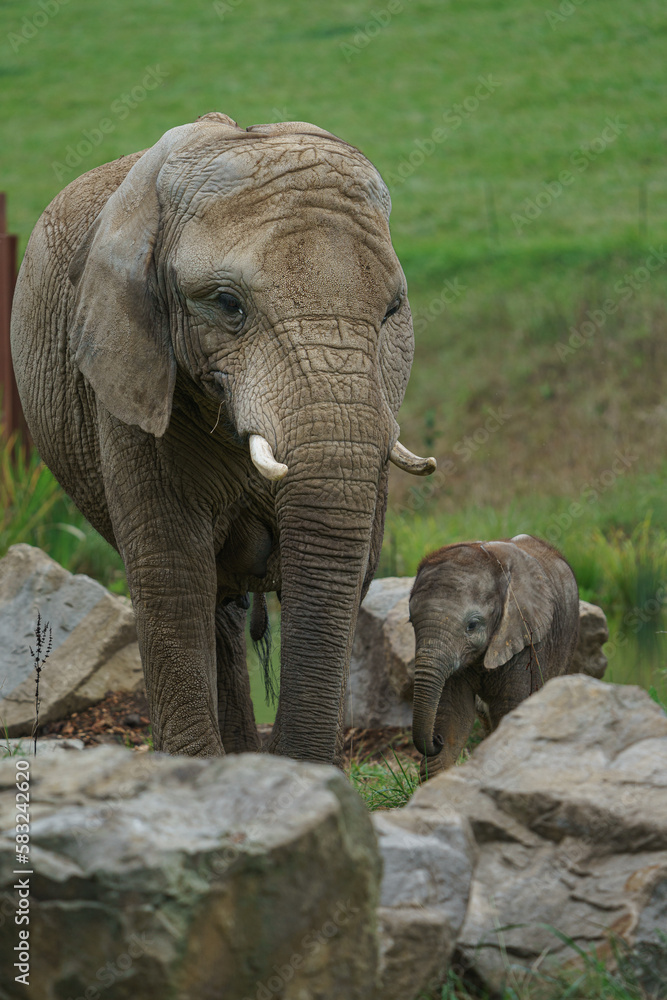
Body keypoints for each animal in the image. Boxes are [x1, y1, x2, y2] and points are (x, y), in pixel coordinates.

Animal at [11, 112, 435, 763]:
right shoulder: (131, 373)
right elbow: (170, 568)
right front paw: (197, 771)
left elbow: (354, 566)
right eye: (228, 304)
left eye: (393, 311)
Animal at [409, 533, 579, 778]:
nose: (436, 739)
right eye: (411, 622)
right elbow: (453, 714)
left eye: (472, 625)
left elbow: (509, 710)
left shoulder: (527, 640)